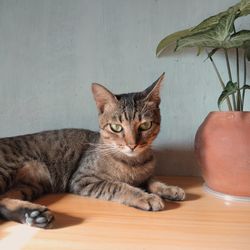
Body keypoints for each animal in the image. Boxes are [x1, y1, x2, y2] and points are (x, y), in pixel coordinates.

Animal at [0, 73, 186, 229]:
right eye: (116, 127)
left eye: (145, 125)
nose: (132, 144)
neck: (133, 162)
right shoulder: (83, 179)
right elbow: (118, 186)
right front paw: (145, 196)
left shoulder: (144, 175)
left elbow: (153, 180)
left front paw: (169, 189)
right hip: (7, 170)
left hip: (30, 185)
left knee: (3, 202)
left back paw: (35, 215)